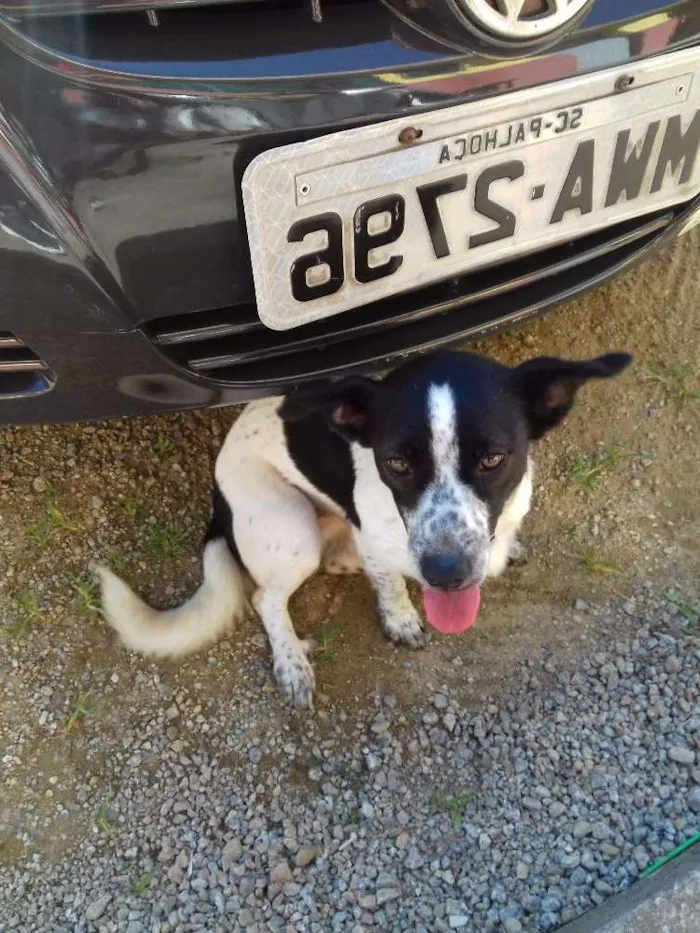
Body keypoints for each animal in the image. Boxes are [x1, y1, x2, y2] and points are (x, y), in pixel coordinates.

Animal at [90, 350, 632, 708]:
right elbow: (391, 587)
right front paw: (402, 618)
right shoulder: (383, 541)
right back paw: (292, 660)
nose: (445, 574)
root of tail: (217, 499)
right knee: (266, 597)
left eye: (494, 458)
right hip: (293, 530)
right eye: (396, 463)